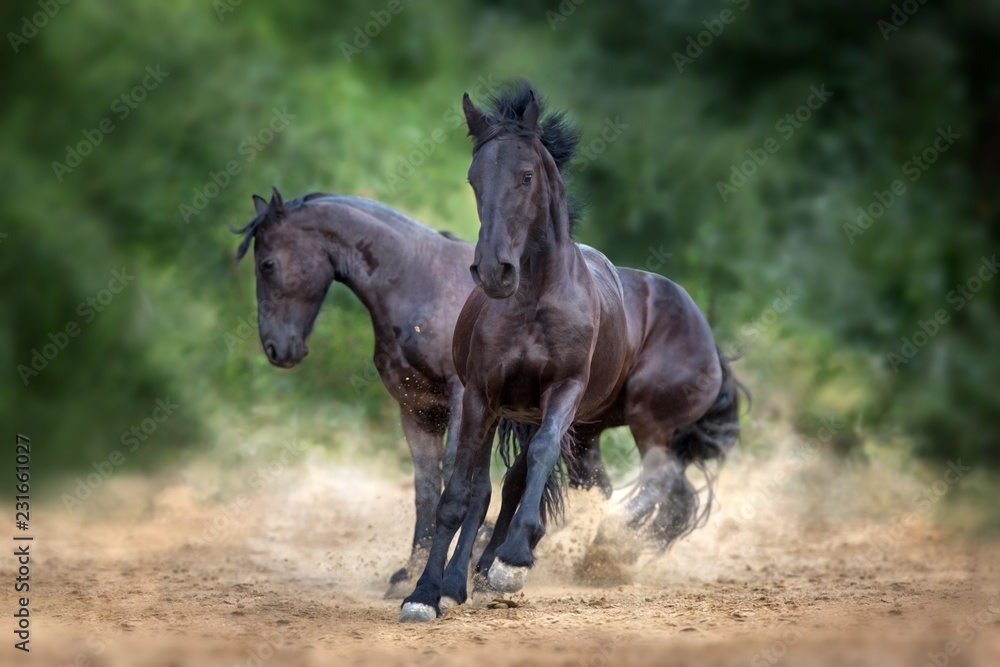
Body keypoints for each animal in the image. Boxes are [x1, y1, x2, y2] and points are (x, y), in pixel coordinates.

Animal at [229, 188, 613, 598]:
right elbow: (426, 488)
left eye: (268, 264)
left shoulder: (462, 400)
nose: (275, 348)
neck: (422, 285)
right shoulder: (416, 408)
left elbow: (460, 480)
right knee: (586, 485)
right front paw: (412, 571)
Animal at [399, 82, 743, 622]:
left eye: (526, 176)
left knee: (657, 481)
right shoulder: (481, 397)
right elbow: (461, 494)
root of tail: (707, 338)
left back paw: (592, 547)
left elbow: (537, 459)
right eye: (475, 178)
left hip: (645, 418)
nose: (494, 271)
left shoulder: (562, 392)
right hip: (573, 426)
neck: (535, 300)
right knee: (526, 486)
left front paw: (513, 561)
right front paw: (426, 593)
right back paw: (475, 574)